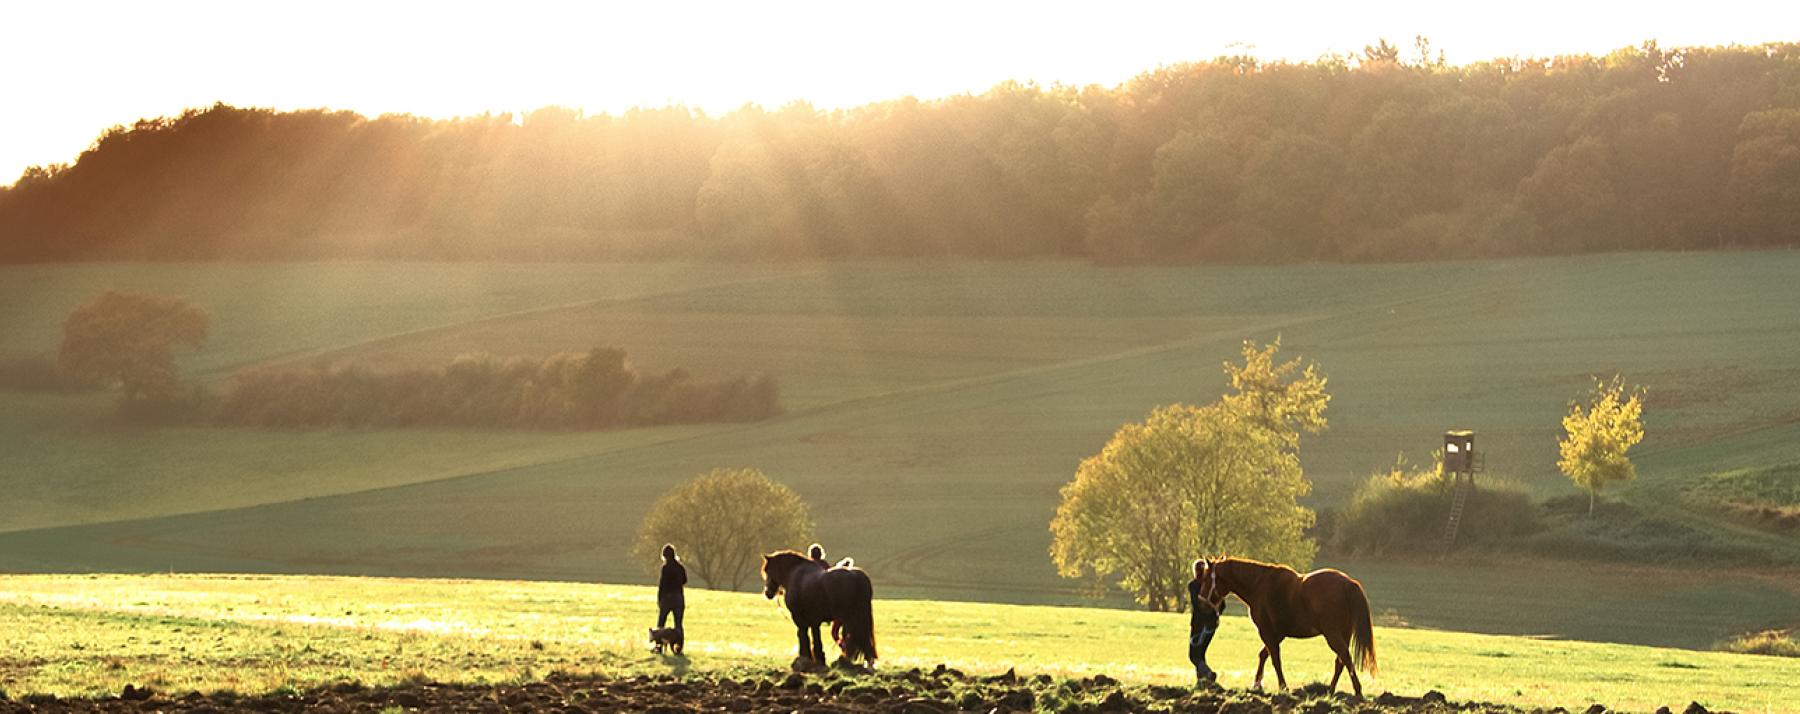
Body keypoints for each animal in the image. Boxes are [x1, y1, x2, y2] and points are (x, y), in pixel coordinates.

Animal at [1202, 553, 1382, 694]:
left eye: (1206, 579)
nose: (1202, 601)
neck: (1259, 585)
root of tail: (1348, 583)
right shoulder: (1278, 633)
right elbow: (1264, 654)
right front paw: (1257, 685)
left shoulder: (1266, 631)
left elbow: (1275, 658)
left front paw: (1283, 687)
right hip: (1344, 633)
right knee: (1340, 661)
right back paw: (1331, 691)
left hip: (1332, 634)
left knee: (1344, 657)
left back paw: (1356, 690)